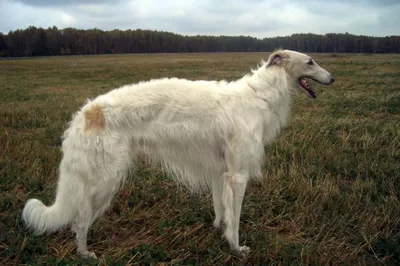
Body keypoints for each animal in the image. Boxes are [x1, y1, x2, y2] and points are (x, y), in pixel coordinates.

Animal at [21, 49, 334, 258]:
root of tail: (85, 114)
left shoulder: (220, 171)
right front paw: (236, 247)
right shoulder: (238, 175)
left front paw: (217, 229)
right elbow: (235, 218)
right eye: (310, 61)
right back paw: (85, 253)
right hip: (104, 179)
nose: (332, 78)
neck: (259, 96)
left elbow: (220, 209)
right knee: (80, 220)